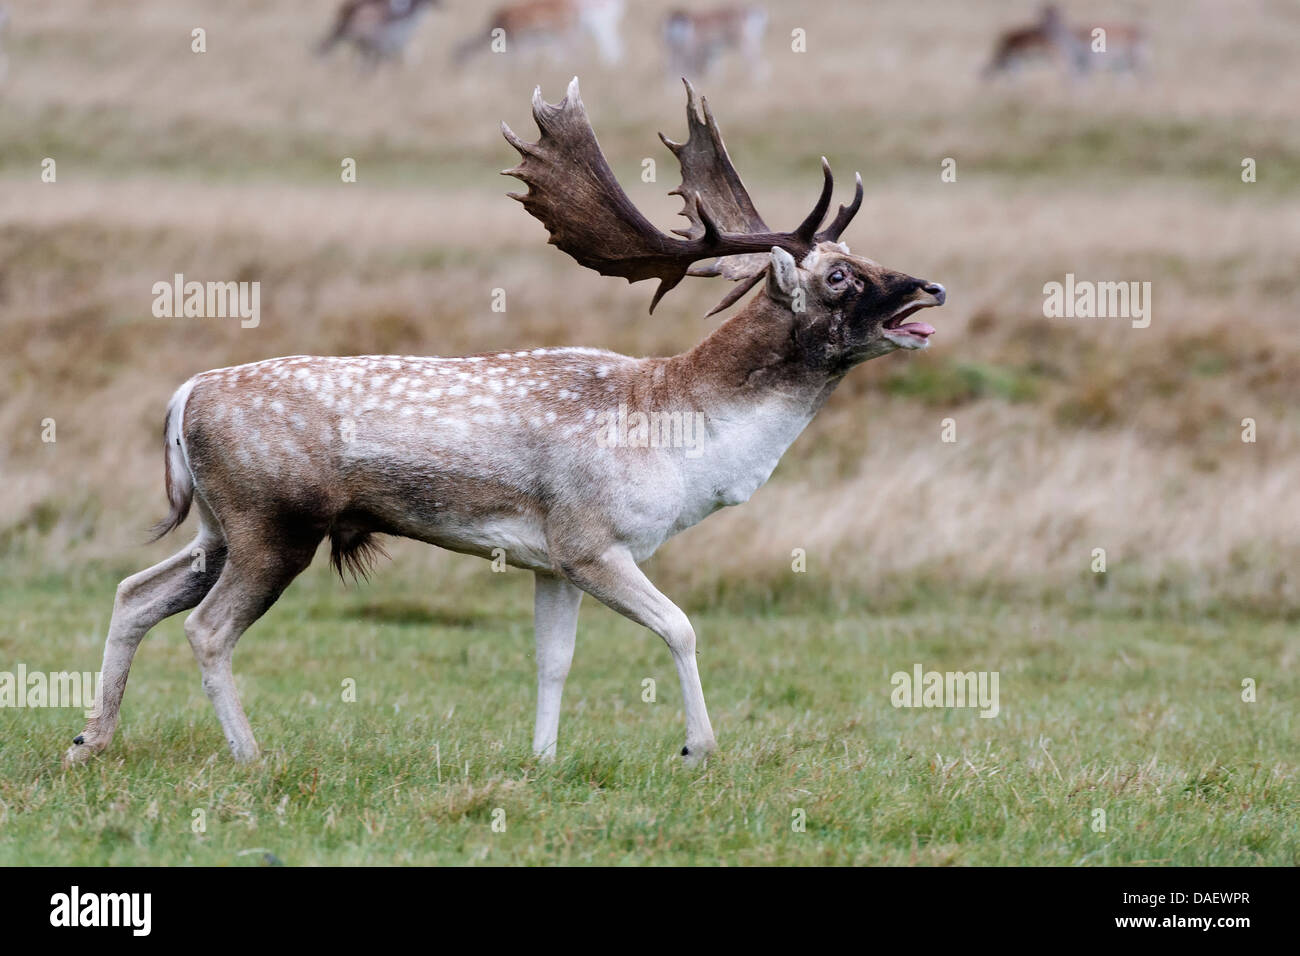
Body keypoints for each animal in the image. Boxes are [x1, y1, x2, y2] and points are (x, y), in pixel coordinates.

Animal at [63, 78, 946, 775]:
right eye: (840, 276)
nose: (930, 287)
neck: (683, 436)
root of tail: (183, 398)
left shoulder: (548, 560)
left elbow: (553, 660)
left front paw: (543, 759)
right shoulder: (592, 539)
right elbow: (682, 626)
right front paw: (697, 748)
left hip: (219, 526)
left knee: (135, 592)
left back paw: (89, 739)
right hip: (272, 523)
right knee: (207, 629)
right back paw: (249, 754)